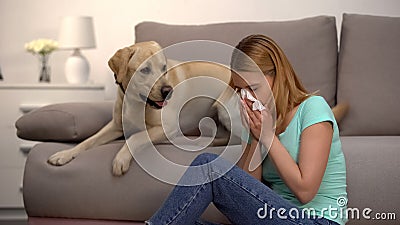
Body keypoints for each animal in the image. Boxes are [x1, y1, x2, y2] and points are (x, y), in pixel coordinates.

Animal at [47, 42, 231, 176]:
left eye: (164, 68)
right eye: (145, 69)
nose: (168, 91)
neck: (135, 101)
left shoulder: (167, 127)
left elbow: (136, 137)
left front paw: (121, 158)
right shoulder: (114, 126)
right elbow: (88, 141)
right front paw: (65, 154)